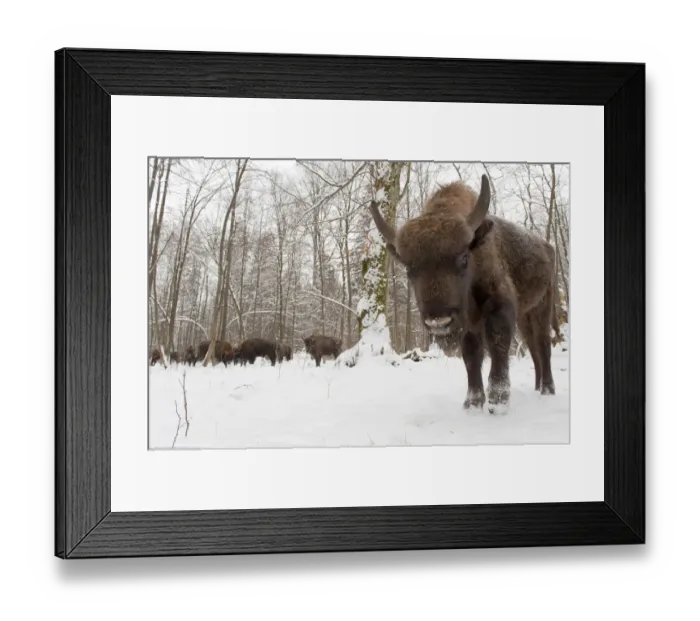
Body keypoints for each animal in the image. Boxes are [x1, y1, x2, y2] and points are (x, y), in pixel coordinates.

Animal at [369, 174, 558, 413]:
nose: (438, 322)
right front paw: (473, 402)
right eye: (409, 268)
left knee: (543, 344)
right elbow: (471, 354)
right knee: (533, 348)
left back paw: (547, 390)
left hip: (543, 304)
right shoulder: (469, 323)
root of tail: (547, 247)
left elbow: (497, 343)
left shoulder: (498, 304)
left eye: (463, 258)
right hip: (526, 316)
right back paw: (537, 386)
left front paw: (498, 401)